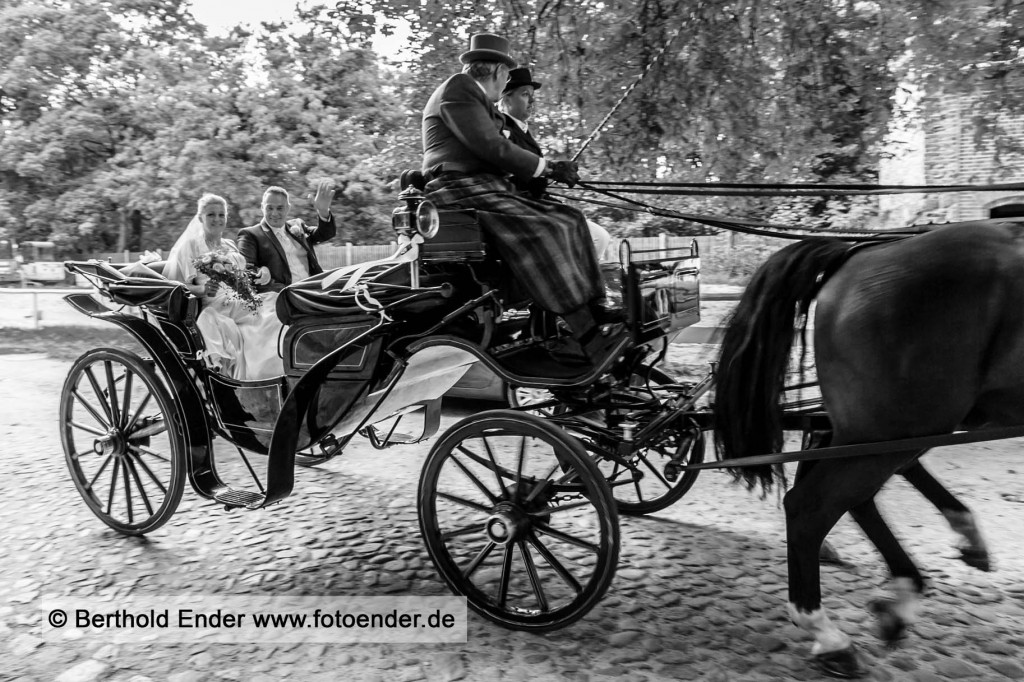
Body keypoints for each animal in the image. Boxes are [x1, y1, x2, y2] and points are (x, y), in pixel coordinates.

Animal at [712, 220, 1024, 675]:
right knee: (813, 506)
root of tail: (858, 254)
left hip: (897, 425)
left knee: (851, 492)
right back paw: (831, 633)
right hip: (902, 422)